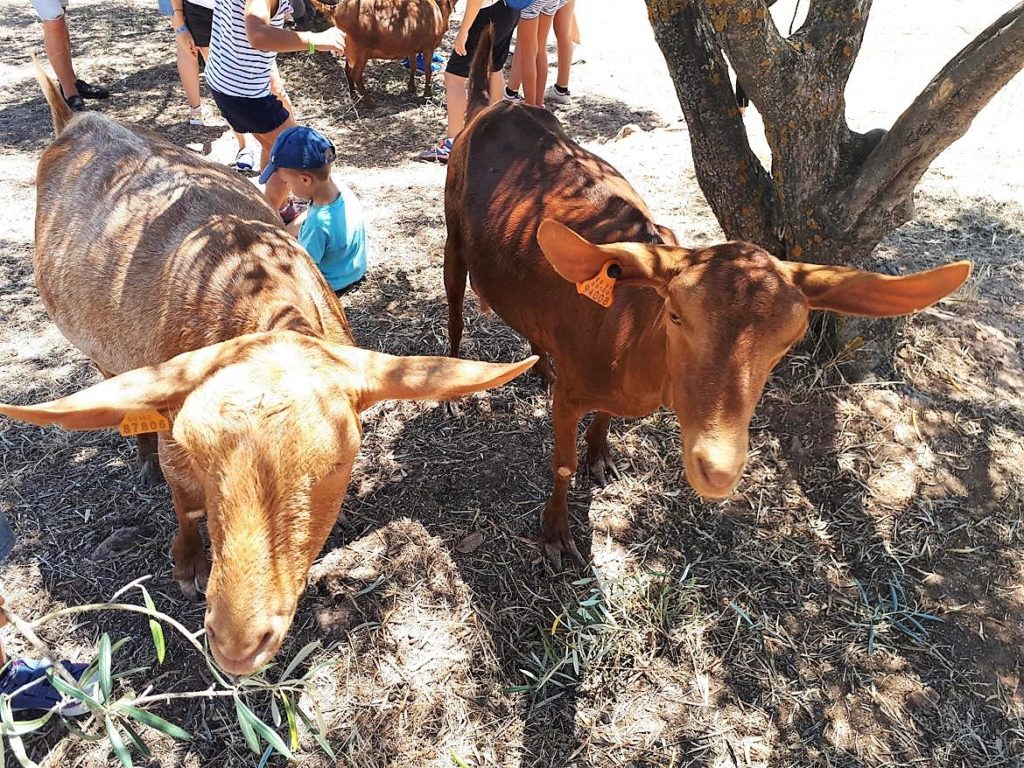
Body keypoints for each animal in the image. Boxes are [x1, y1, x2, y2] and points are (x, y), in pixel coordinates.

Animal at [0, 58, 540, 671]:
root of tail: (74, 121)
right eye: (194, 449)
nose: (237, 643)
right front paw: (188, 564)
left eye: (339, 462)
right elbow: (184, 505)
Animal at [309, 0, 454, 101]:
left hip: (350, 51)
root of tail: (335, 10)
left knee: (347, 70)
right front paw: (427, 94)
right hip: (360, 52)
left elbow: (413, 66)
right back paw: (368, 101)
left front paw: (411, 88)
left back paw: (354, 95)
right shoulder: (428, 46)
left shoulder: (410, 48)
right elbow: (428, 71)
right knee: (355, 74)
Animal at [444, 30, 970, 569]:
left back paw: (541, 364)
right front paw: (554, 535)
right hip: (454, 241)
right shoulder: (572, 395)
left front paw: (601, 457)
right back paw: (453, 379)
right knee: (456, 307)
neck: (628, 334)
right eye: (676, 315)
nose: (715, 467)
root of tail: (492, 105)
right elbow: (563, 464)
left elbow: (603, 423)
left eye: (789, 340)